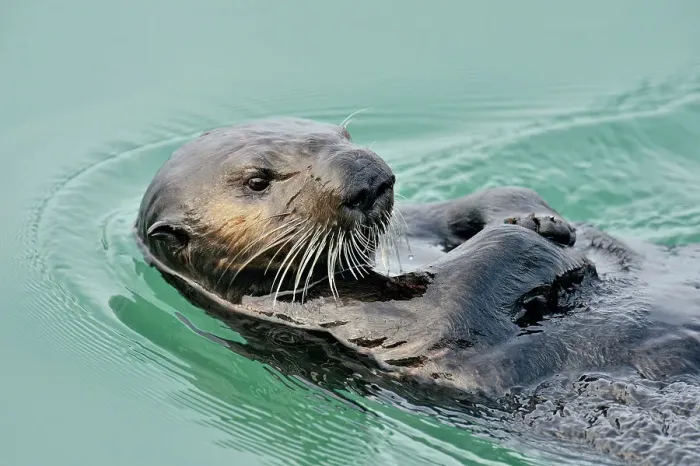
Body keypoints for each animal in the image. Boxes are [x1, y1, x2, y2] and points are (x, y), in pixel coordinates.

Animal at [134, 117, 700, 463]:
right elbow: (457, 301)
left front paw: (536, 214)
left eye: (342, 133)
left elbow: (473, 204)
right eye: (257, 180)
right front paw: (533, 234)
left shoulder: (424, 226)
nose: (370, 176)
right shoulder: (335, 318)